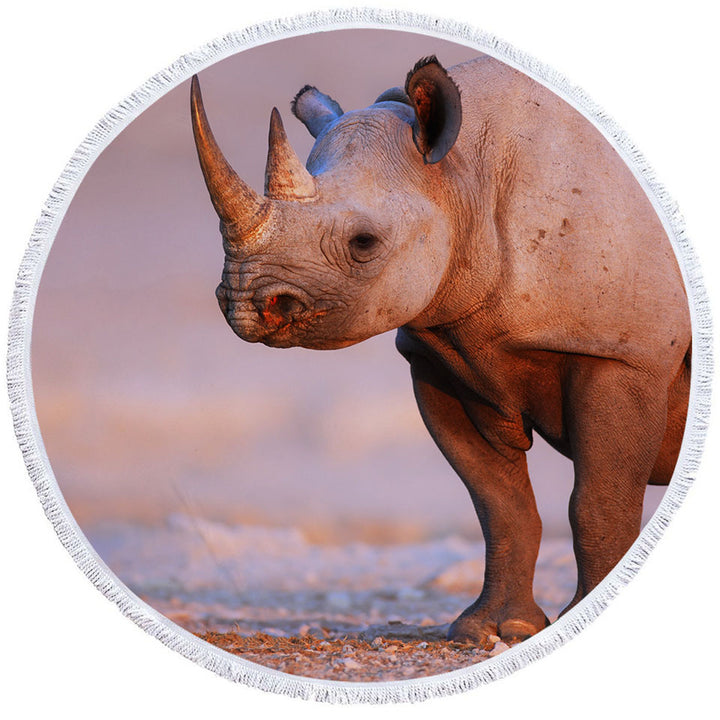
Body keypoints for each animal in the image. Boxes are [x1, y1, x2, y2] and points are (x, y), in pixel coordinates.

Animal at [189, 54, 691, 647]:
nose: (247, 305)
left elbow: (599, 501)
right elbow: (498, 502)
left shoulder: (619, 353)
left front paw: (576, 617)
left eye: (363, 243)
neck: (462, 175)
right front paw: (491, 629)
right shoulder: (444, 352)